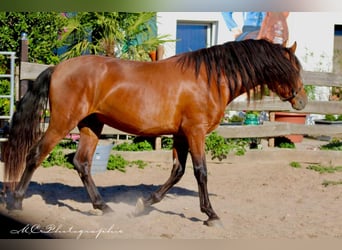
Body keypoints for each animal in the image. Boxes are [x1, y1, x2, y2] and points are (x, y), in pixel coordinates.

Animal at [2, 38, 308, 227]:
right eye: (291, 68)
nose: (302, 101)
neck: (209, 80)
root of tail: (57, 68)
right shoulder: (195, 132)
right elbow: (201, 172)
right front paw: (211, 214)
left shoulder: (181, 134)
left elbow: (177, 172)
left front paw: (143, 204)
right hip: (62, 122)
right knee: (36, 155)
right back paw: (16, 201)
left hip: (91, 125)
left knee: (82, 163)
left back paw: (103, 207)